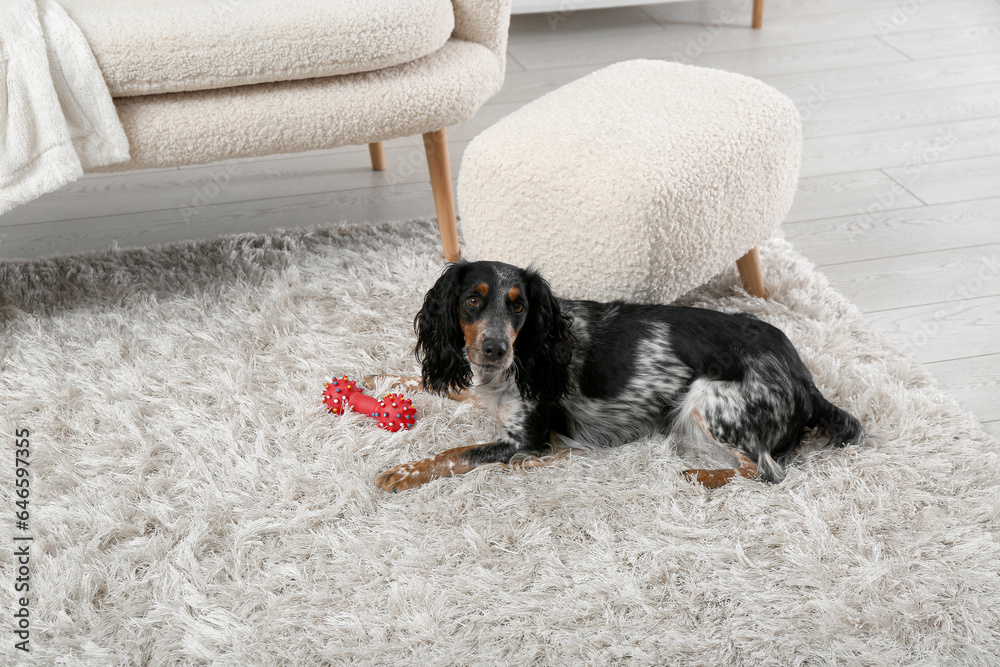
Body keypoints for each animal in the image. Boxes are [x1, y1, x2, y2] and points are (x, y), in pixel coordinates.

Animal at [372, 264, 864, 494]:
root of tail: (807, 382)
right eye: (473, 300)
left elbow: (456, 453)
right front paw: (380, 377)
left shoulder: (526, 437)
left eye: (519, 305)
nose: (495, 349)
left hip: (708, 401)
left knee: (764, 471)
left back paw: (698, 475)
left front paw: (405, 471)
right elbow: (433, 385)